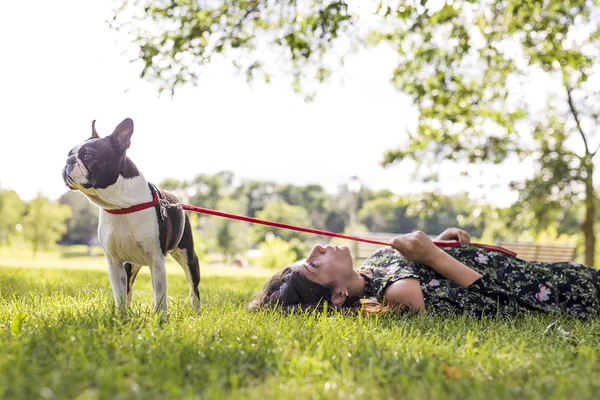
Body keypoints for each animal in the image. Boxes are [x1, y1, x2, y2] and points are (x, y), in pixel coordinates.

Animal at [62, 119, 200, 312]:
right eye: (68, 154)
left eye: (88, 155)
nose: (68, 160)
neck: (121, 205)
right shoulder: (114, 263)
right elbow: (119, 295)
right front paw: (121, 316)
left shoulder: (157, 262)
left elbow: (160, 297)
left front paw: (160, 318)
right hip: (131, 265)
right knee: (128, 288)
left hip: (188, 257)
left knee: (194, 288)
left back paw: (197, 311)